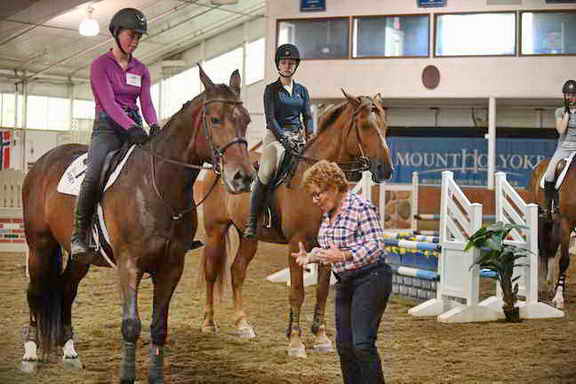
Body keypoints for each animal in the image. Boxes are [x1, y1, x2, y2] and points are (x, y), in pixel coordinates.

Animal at [21, 67, 254, 384]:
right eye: (215, 119)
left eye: (246, 120)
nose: (244, 177)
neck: (157, 186)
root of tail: (41, 164)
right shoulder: (129, 264)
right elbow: (131, 325)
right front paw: (127, 376)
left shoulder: (171, 267)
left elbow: (159, 327)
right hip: (39, 245)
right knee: (35, 291)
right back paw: (30, 352)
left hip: (81, 257)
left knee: (67, 289)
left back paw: (69, 350)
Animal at [197, 90, 392, 356]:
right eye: (365, 126)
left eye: (385, 126)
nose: (386, 169)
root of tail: (216, 166)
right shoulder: (296, 244)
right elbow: (297, 292)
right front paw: (296, 341)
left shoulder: (326, 248)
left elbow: (321, 291)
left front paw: (320, 337)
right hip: (215, 232)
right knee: (211, 273)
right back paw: (208, 322)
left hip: (249, 237)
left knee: (237, 272)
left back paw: (243, 324)